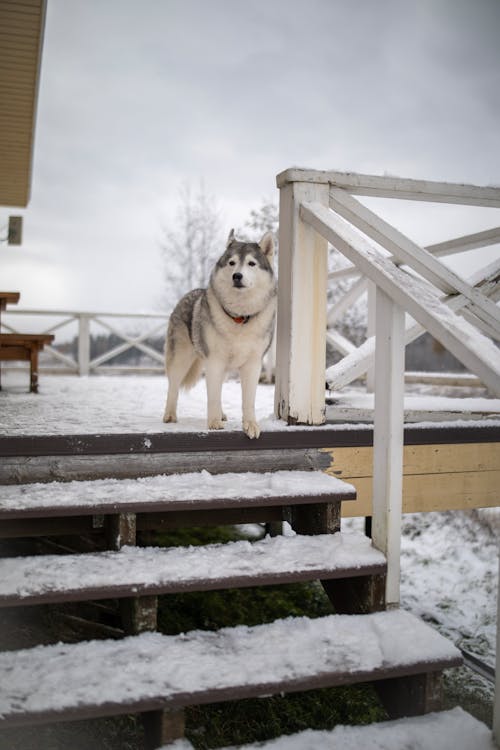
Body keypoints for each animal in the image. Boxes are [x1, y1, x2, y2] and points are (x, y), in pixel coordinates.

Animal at [163, 231, 276, 440]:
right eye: (232, 263)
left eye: (251, 263)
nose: (237, 276)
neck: (239, 318)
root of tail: (189, 293)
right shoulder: (214, 361)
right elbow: (213, 396)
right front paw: (214, 422)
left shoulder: (253, 364)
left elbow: (248, 400)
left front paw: (250, 425)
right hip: (181, 359)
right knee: (173, 386)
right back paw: (170, 415)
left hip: (223, 368)